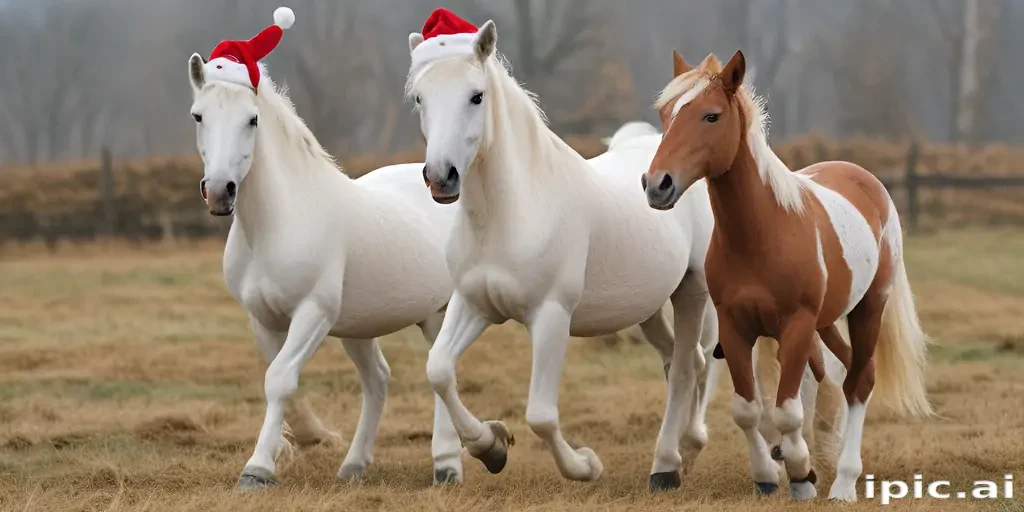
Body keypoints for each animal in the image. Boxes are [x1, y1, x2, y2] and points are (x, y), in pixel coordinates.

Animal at [186, 54, 465, 489]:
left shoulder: (313, 313)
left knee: (442, 368)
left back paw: (448, 465)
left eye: (252, 119)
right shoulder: (263, 319)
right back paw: (354, 465)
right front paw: (300, 441)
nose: (219, 191)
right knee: (378, 379)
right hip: (361, 326)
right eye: (198, 115)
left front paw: (257, 469)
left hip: (440, 312)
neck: (279, 221)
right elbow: (278, 377)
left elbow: (280, 379)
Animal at [405, 17, 723, 488]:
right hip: (648, 308)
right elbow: (439, 370)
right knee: (682, 362)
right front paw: (491, 446)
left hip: (692, 291)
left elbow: (540, 415)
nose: (442, 177)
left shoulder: (551, 315)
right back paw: (687, 448)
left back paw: (667, 465)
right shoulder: (474, 304)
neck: (512, 213)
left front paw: (585, 465)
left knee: (686, 367)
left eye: (476, 95)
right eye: (420, 98)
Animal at [642, 49, 932, 501]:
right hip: (826, 323)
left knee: (859, 381)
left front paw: (800, 472)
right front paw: (771, 473)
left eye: (711, 115)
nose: (657, 184)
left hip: (868, 308)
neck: (763, 233)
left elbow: (786, 411)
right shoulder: (736, 329)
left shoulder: (796, 326)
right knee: (837, 376)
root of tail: (866, 180)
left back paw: (844, 480)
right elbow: (748, 410)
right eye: (665, 113)